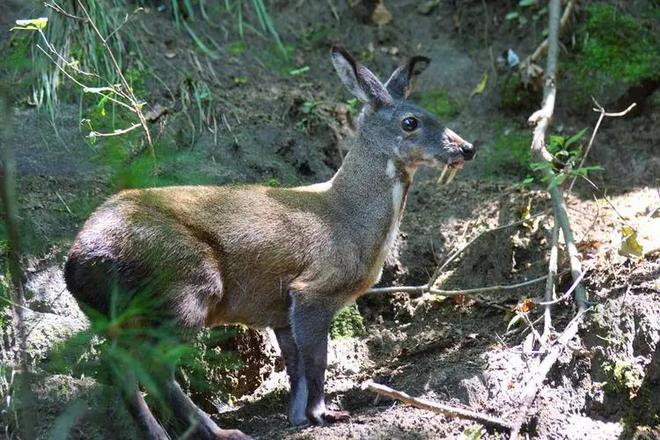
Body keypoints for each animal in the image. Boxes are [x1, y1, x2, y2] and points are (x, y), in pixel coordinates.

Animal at [63, 46, 474, 438]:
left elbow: (296, 367)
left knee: (120, 367)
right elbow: (317, 360)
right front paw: (324, 414)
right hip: (183, 283)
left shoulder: (279, 309)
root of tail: (76, 261)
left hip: (117, 313)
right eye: (411, 122)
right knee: (154, 367)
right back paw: (221, 431)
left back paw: (159, 432)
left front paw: (298, 417)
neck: (350, 220)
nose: (466, 148)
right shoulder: (314, 288)